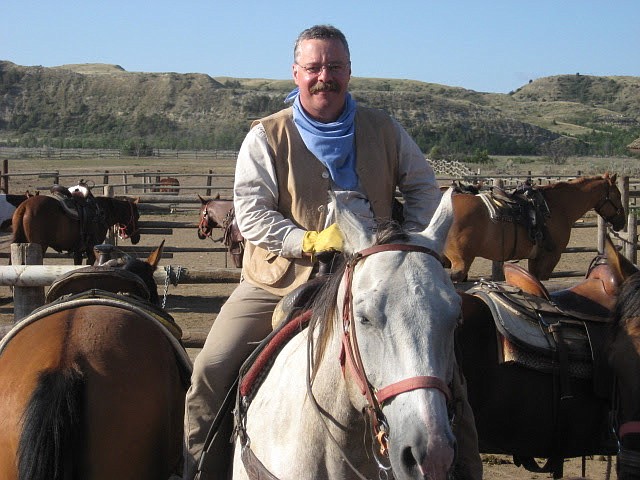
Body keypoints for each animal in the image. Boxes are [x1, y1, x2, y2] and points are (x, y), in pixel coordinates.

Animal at [10, 193, 141, 264]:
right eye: (137, 216)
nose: (137, 238)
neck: (101, 212)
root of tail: (24, 206)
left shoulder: (78, 251)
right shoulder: (91, 250)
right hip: (39, 246)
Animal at [444, 173, 624, 282]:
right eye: (618, 194)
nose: (621, 221)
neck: (558, 206)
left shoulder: (535, 258)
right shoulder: (550, 257)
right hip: (460, 262)